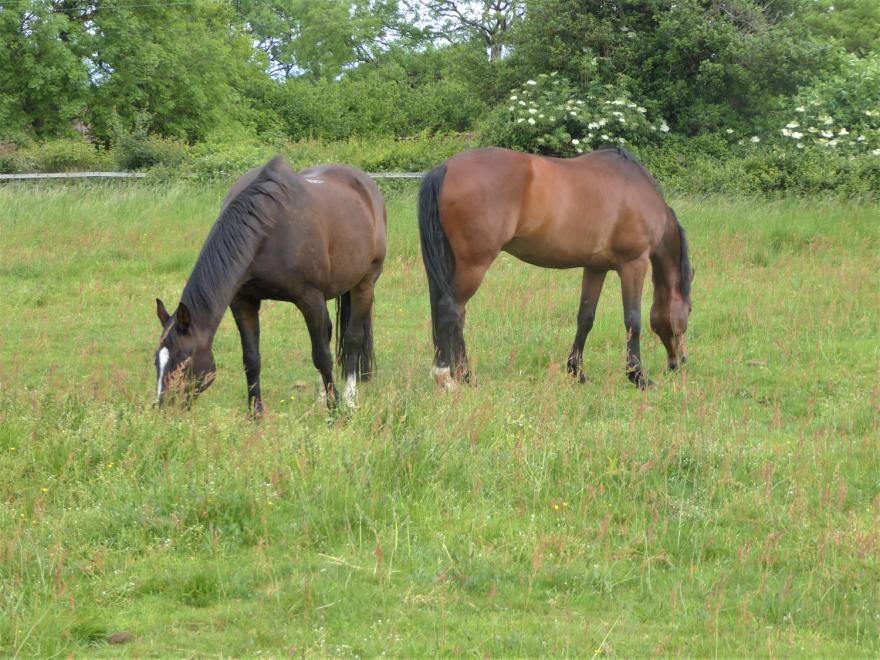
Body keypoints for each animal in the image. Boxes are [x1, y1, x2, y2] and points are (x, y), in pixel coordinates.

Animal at [154, 156, 384, 412]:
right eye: (156, 361)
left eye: (185, 359)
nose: (163, 407)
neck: (268, 227)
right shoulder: (243, 301)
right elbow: (251, 358)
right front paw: (255, 412)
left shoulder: (310, 299)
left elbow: (322, 356)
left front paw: (335, 409)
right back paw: (321, 396)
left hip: (365, 284)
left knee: (352, 339)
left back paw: (350, 399)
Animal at [420, 147, 696, 390]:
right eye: (690, 310)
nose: (680, 361)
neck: (638, 192)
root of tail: (446, 168)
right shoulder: (633, 264)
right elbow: (633, 320)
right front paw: (637, 376)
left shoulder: (595, 268)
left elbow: (585, 318)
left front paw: (577, 372)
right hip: (474, 265)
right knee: (449, 310)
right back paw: (446, 378)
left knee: (456, 315)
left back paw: (466, 377)